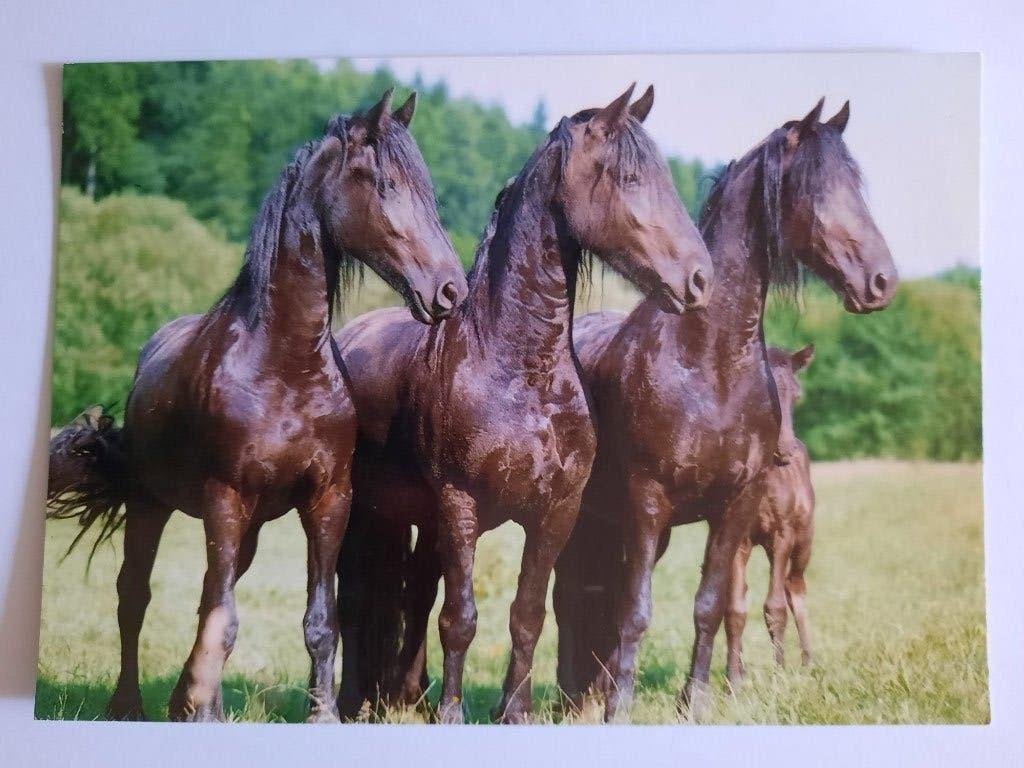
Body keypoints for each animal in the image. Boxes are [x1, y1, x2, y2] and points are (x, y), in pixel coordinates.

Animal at [45, 90, 468, 723]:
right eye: (386, 184)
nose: (450, 290)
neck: (283, 366)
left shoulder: (328, 501)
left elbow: (317, 621)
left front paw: (322, 715)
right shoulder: (225, 499)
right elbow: (221, 620)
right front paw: (204, 713)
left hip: (241, 528)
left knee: (206, 596)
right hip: (154, 505)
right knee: (135, 597)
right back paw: (131, 705)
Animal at [333, 84, 714, 724]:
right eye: (631, 177)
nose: (700, 279)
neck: (516, 370)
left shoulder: (554, 513)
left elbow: (526, 616)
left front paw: (514, 712)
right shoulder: (460, 507)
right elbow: (461, 620)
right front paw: (454, 713)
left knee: (412, 594)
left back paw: (405, 693)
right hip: (368, 512)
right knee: (360, 598)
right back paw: (358, 699)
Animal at [725, 344, 816, 682]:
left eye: (797, 395)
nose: (784, 451)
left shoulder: (782, 535)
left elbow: (774, 606)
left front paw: (779, 674)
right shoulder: (737, 539)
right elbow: (735, 608)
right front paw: (733, 679)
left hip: (805, 540)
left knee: (795, 587)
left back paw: (807, 661)